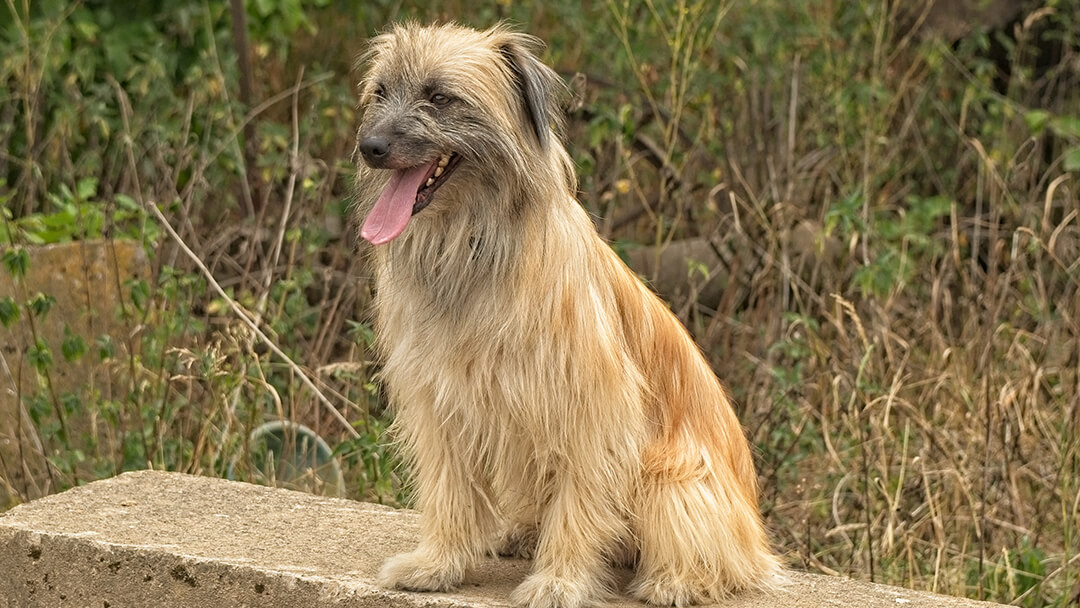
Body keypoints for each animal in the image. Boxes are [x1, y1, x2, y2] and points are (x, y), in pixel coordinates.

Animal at [354, 21, 786, 604]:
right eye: (380, 92)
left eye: (440, 97)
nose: (370, 147)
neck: (472, 244)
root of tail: (756, 537)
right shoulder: (440, 401)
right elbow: (450, 490)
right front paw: (438, 563)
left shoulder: (591, 407)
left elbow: (579, 503)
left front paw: (560, 580)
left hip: (670, 479)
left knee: (713, 555)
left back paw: (674, 580)